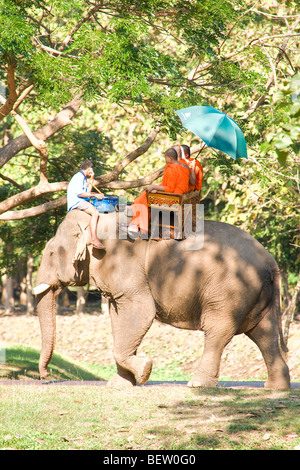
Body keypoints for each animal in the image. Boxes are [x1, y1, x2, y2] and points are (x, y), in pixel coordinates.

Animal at [33, 209, 290, 390]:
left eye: (51, 253)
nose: (45, 376)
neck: (97, 220)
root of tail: (271, 262)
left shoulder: (126, 270)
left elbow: (140, 312)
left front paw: (146, 370)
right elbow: (118, 321)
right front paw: (119, 384)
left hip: (229, 291)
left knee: (218, 331)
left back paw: (197, 384)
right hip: (256, 294)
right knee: (264, 334)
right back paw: (275, 387)